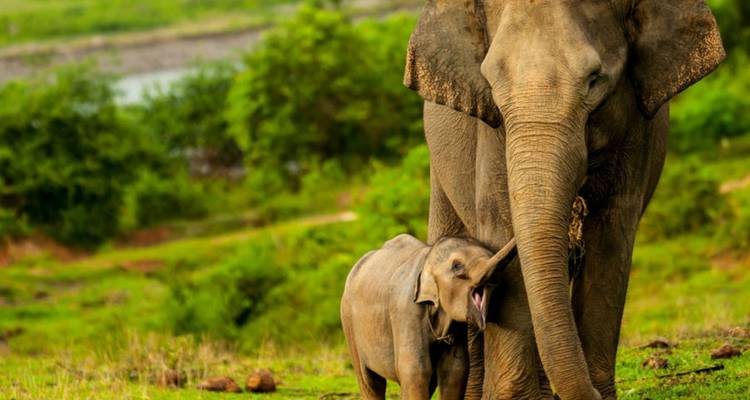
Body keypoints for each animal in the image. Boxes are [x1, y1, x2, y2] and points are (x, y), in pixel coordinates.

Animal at [340, 233, 517, 399]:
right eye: (457, 266)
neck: (427, 258)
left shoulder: (456, 326)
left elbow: (455, 369)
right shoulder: (406, 310)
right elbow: (415, 369)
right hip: (348, 321)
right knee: (369, 381)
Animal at [402, 0, 725, 399]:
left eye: (595, 79)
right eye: (491, 84)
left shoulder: (636, 128)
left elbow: (611, 236)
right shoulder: (491, 131)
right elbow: (501, 225)